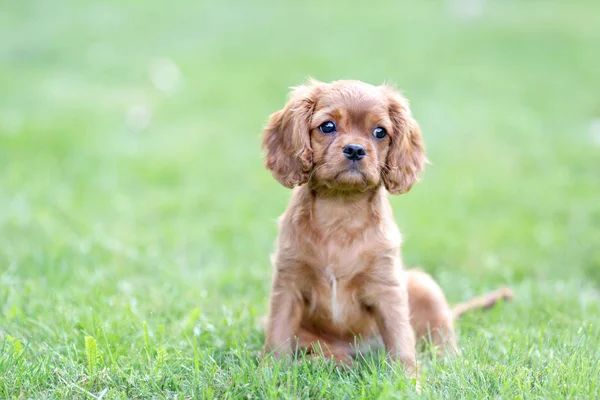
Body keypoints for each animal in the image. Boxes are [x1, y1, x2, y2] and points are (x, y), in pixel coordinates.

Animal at [258, 79, 510, 376]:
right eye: (327, 126)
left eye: (380, 132)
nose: (355, 149)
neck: (341, 210)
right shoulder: (288, 284)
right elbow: (278, 332)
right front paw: (268, 371)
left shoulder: (387, 288)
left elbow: (401, 339)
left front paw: (409, 379)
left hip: (424, 285)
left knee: (441, 337)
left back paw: (448, 362)